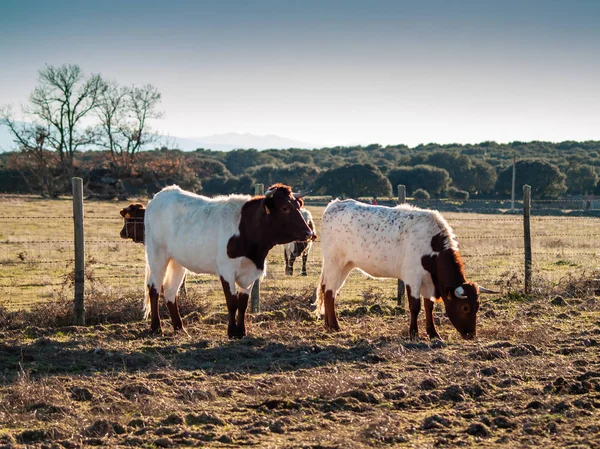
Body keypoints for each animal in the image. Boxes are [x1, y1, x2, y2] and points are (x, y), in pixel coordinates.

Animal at [144, 182, 314, 336]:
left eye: (298, 206)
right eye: (285, 208)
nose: (309, 232)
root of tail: (162, 194)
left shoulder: (251, 272)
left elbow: (243, 303)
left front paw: (242, 331)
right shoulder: (226, 270)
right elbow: (232, 302)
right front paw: (232, 331)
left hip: (177, 262)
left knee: (170, 291)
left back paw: (180, 328)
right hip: (157, 256)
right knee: (154, 289)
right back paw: (156, 328)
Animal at [314, 200, 492, 340]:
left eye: (477, 306)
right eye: (465, 307)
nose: (471, 335)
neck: (431, 247)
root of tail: (334, 205)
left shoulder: (428, 282)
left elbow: (429, 306)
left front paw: (433, 333)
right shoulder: (413, 278)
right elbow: (415, 306)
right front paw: (413, 333)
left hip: (345, 266)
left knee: (329, 290)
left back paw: (328, 324)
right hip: (334, 263)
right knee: (329, 292)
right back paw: (335, 326)